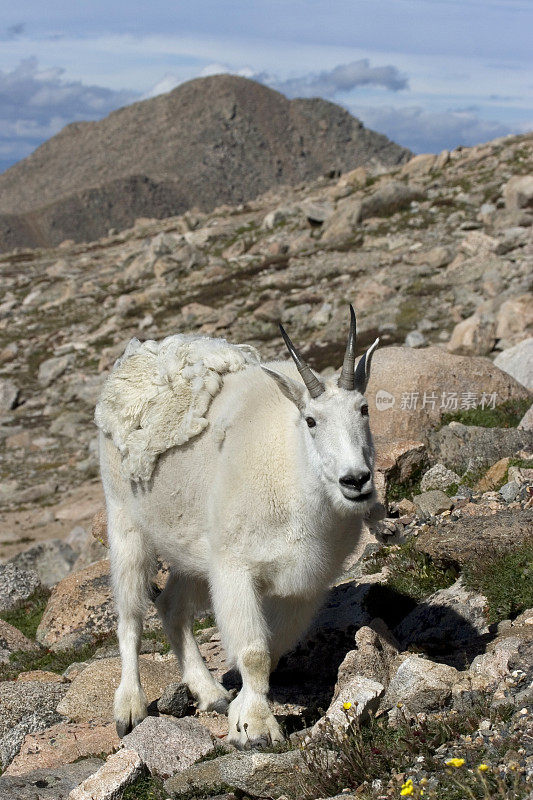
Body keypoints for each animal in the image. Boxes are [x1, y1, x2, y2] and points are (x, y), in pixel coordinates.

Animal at [95, 304, 378, 744]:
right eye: (311, 421)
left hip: (192, 546)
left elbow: (274, 647)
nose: (356, 480)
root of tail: (133, 360)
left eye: (363, 409)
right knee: (130, 616)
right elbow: (254, 652)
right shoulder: (235, 567)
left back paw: (210, 693)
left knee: (171, 606)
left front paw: (241, 714)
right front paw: (257, 728)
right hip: (125, 521)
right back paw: (129, 708)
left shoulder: (306, 585)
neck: (294, 474)